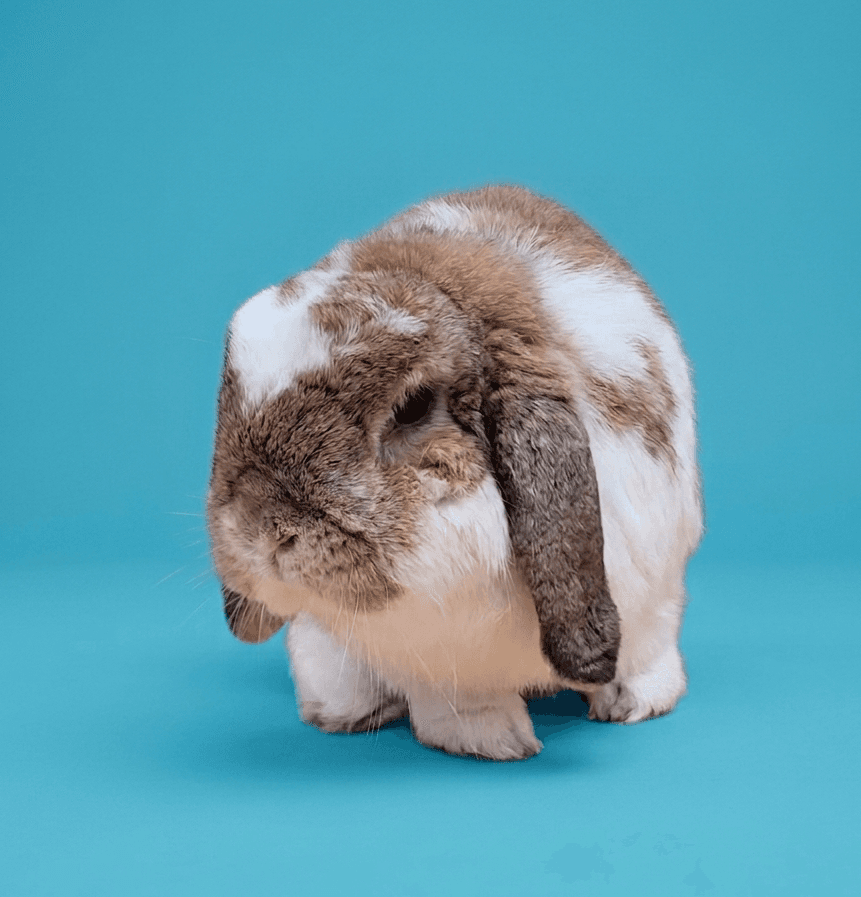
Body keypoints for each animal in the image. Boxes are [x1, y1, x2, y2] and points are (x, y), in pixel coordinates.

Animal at [207, 185, 703, 760]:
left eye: (414, 407)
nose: (265, 529)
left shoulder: (655, 580)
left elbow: (645, 648)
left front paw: (633, 703)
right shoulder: (437, 655)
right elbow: (462, 698)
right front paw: (492, 742)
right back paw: (344, 710)